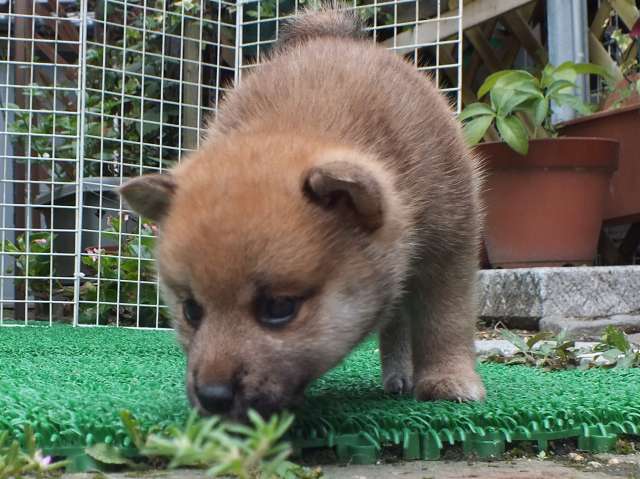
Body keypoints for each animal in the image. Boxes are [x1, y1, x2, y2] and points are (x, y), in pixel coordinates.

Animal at [120, 7, 482, 420]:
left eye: (279, 308)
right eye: (192, 311)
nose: (212, 396)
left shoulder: (451, 248)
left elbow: (444, 322)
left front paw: (448, 380)